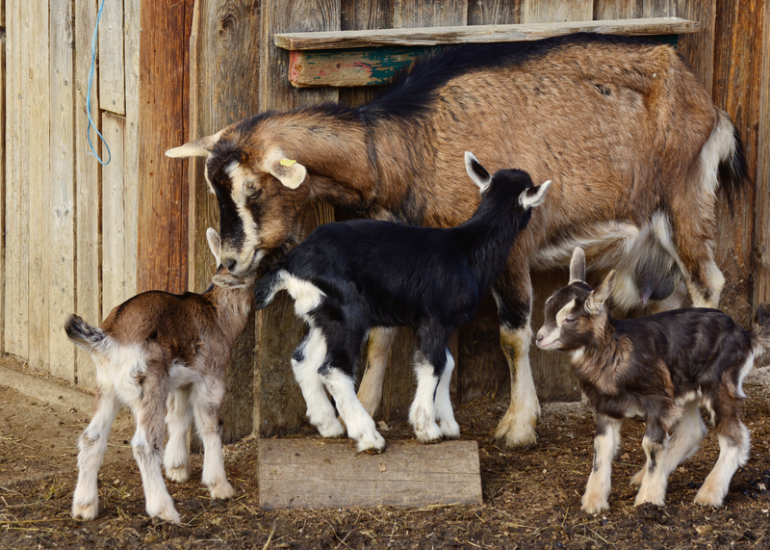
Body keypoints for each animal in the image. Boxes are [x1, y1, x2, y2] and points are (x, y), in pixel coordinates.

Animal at [166, 33, 744, 448]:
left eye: (253, 189)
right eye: (214, 187)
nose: (231, 263)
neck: (405, 147)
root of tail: (706, 101)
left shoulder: (510, 249)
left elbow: (514, 335)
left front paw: (517, 426)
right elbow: (382, 338)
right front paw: (368, 409)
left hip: (684, 198)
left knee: (707, 281)